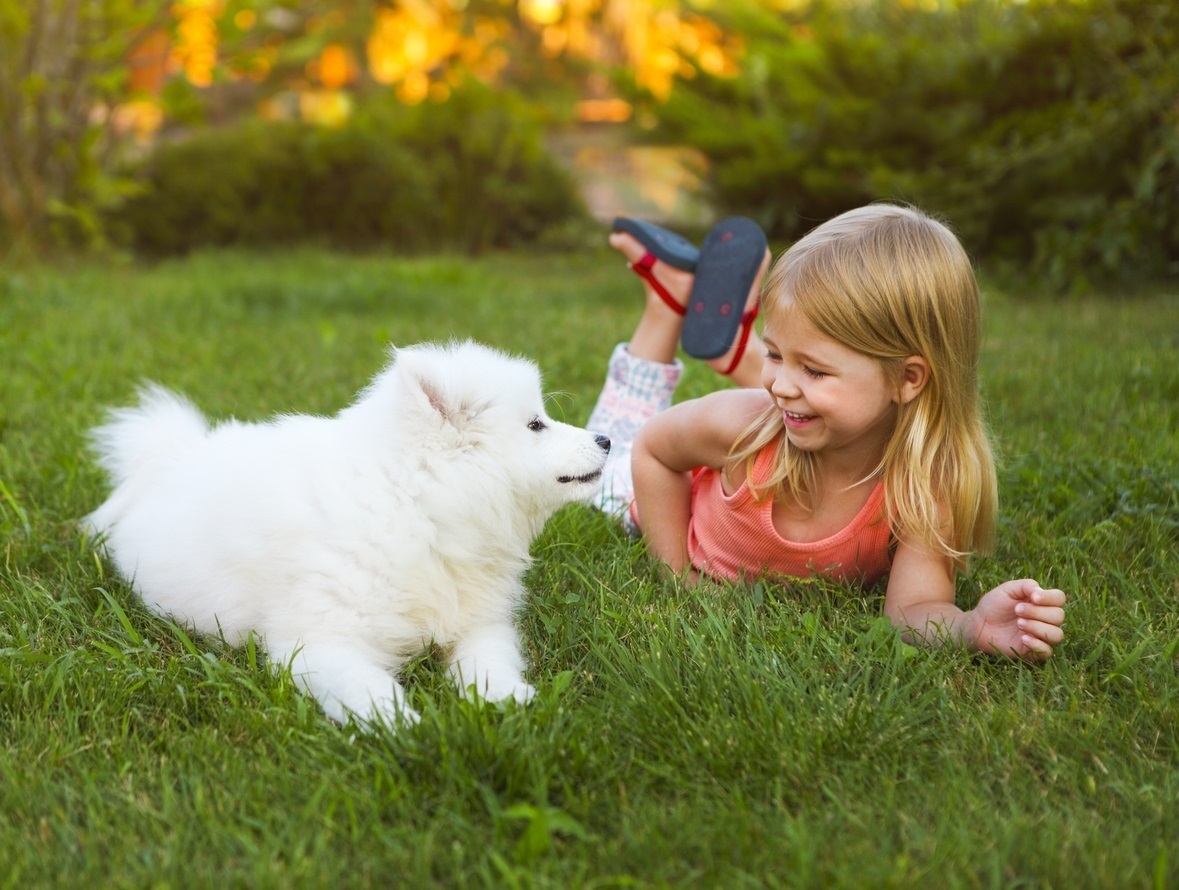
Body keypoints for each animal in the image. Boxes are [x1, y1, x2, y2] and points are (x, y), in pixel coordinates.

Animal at [87, 337, 613, 726]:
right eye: (536, 425)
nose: (606, 439)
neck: (416, 508)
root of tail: (171, 458)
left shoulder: (478, 621)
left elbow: (489, 659)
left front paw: (506, 700)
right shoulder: (319, 641)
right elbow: (373, 690)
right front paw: (409, 730)